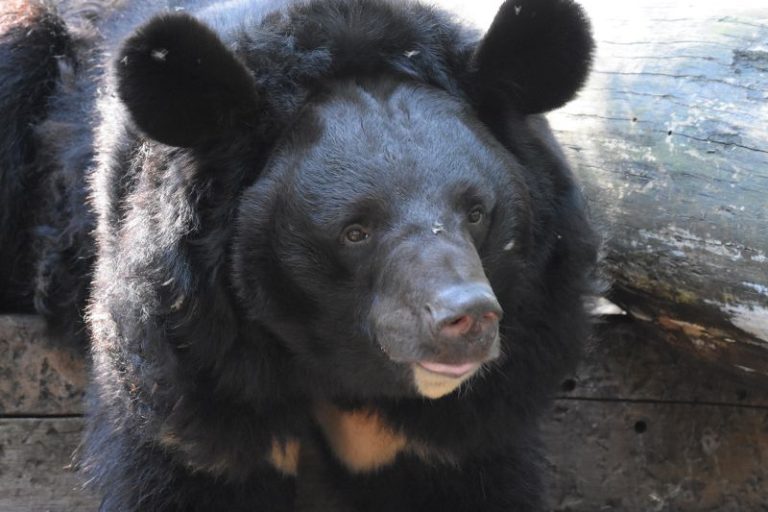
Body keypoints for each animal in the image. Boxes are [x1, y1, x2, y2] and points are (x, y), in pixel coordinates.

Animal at [0, 0, 596, 510]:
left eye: (475, 212)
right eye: (355, 232)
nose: (467, 319)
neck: (326, 364)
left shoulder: (469, 419)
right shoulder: (187, 365)